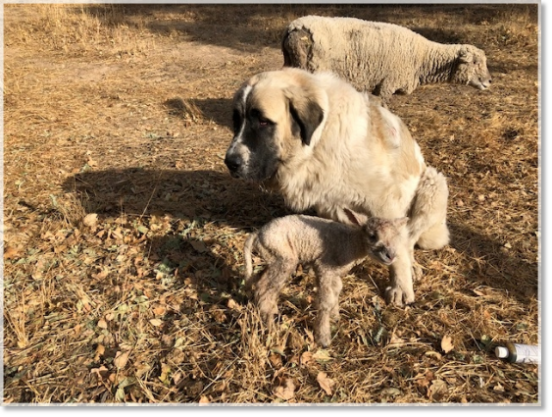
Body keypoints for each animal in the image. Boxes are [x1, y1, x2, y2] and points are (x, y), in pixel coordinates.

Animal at [224, 66, 448, 304]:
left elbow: (398, 245)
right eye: (237, 121)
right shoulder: (328, 205)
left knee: (410, 238)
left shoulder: (385, 202)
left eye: (263, 122)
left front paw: (400, 286)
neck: (318, 141)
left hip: (433, 185)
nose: (230, 162)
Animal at [244, 206, 408, 346]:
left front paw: (335, 317)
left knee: (260, 282)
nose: (391, 256)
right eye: (372, 236)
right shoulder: (324, 266)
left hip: (272, 258)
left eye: (395, 237)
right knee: (265, 289)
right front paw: (323, 337)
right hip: (283, 256)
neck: (351, 242)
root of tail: (257, 233)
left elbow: (336, 290)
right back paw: (272, 328)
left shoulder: (334, 271)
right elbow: (326, 300)